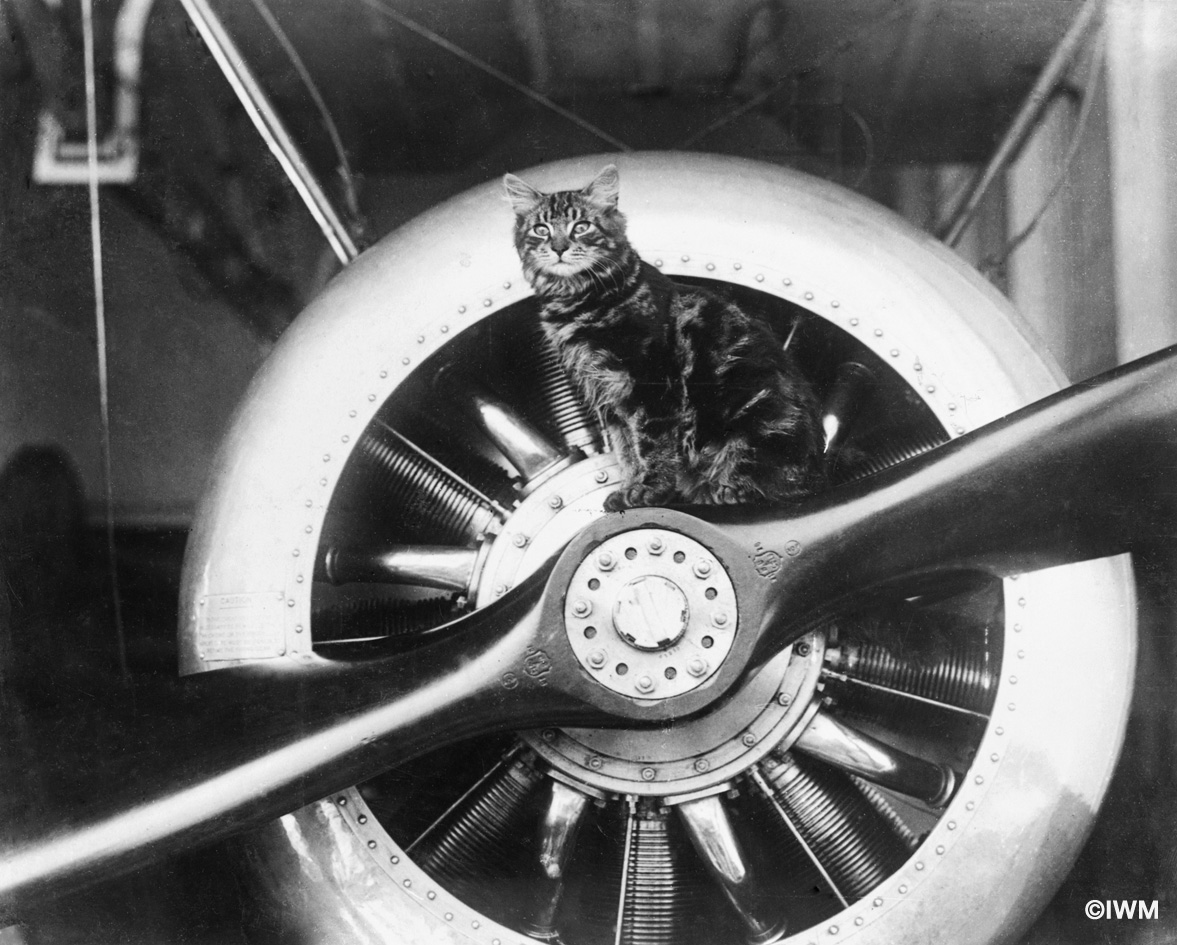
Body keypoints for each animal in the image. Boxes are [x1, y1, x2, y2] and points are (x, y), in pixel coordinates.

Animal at [508, 164, 828, 510]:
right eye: (541, 229)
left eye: (581, 226)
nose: (558, 248)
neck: (577, 300)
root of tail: (819, 471)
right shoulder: (610, 398)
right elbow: (626, 452)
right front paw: (628, 490)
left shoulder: (651, 385)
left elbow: (651, 447)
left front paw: (649, 492)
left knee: (772, 486)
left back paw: (725, 490)